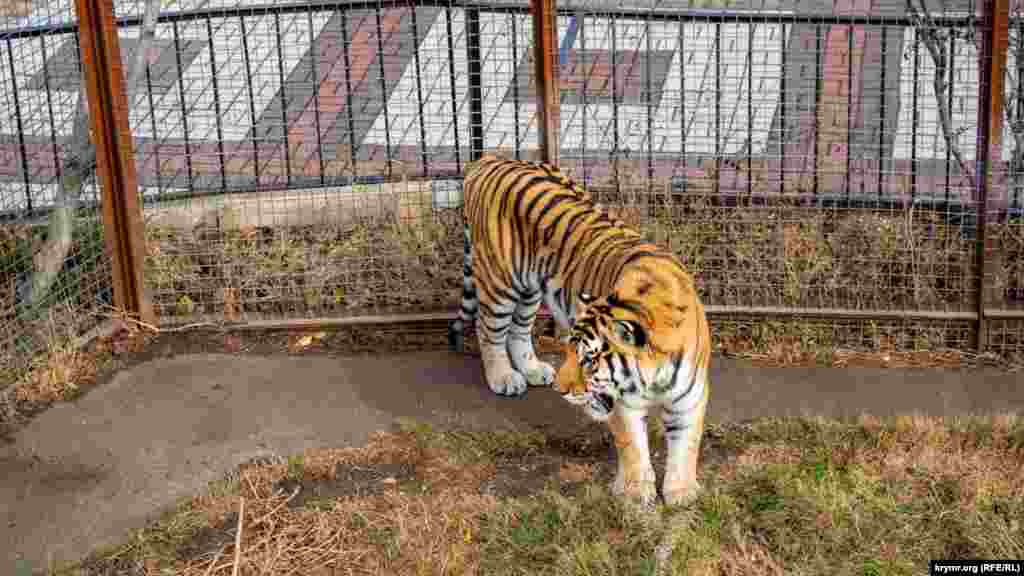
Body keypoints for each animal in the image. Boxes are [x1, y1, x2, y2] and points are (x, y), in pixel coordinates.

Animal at [450, 154, 712, 504]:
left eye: (588, 359)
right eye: (571, 353)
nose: (560, 391)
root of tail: (490, 158)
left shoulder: (690, 397)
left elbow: (686, 446)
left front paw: (681, 492)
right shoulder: (624, 402)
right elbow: (633, 446)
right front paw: (635, 492)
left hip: (530, 290)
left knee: (519, 329)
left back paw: (532, 370)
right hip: (500, 281)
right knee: (488, 330)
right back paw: (503, 378)